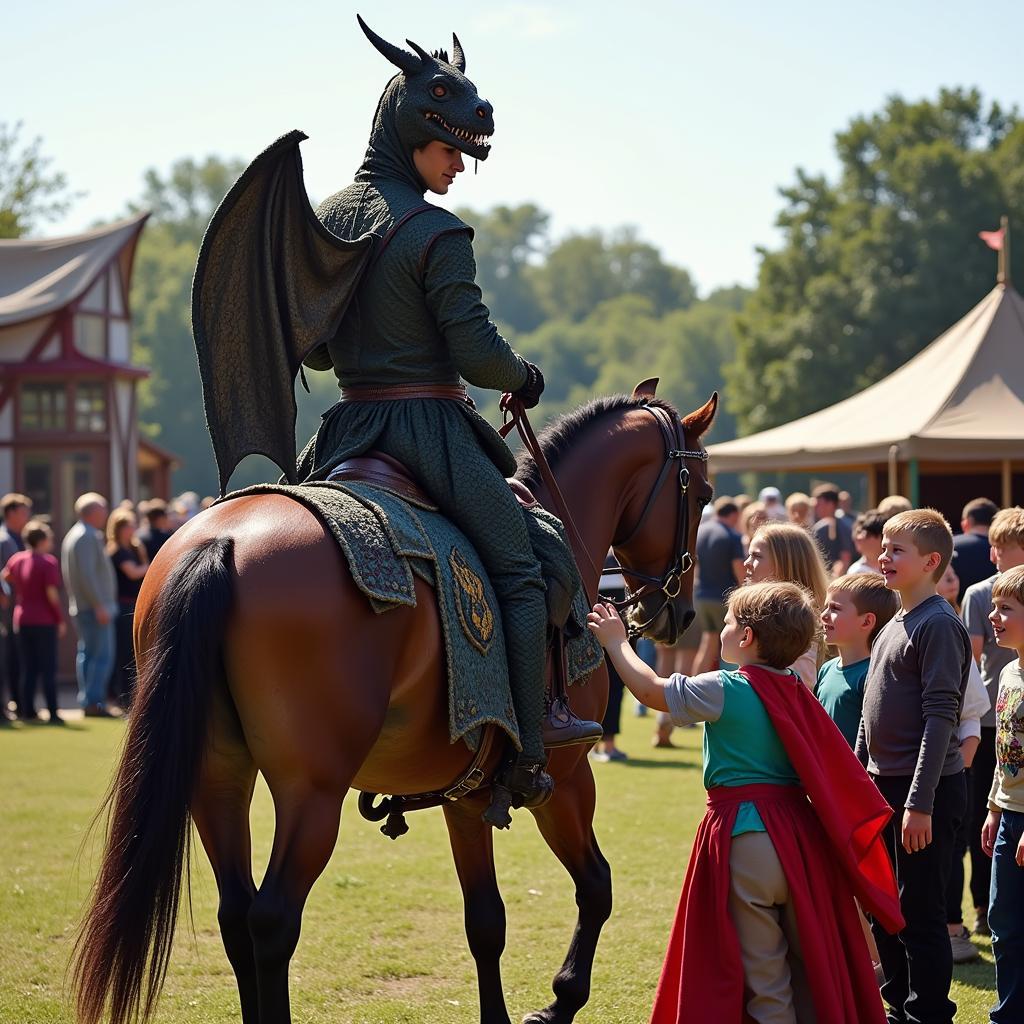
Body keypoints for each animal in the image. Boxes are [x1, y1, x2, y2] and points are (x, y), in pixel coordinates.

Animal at [72, 382, 716, 1024]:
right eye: (706, 494)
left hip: (218, 777)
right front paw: (562, 999)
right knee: (271, 920)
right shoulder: (567, 777)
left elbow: (486, 920)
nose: (677, 612)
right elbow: (596, 885)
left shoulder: (469, 792)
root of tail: (222, 541)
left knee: (235, 912)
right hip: (312, 791)